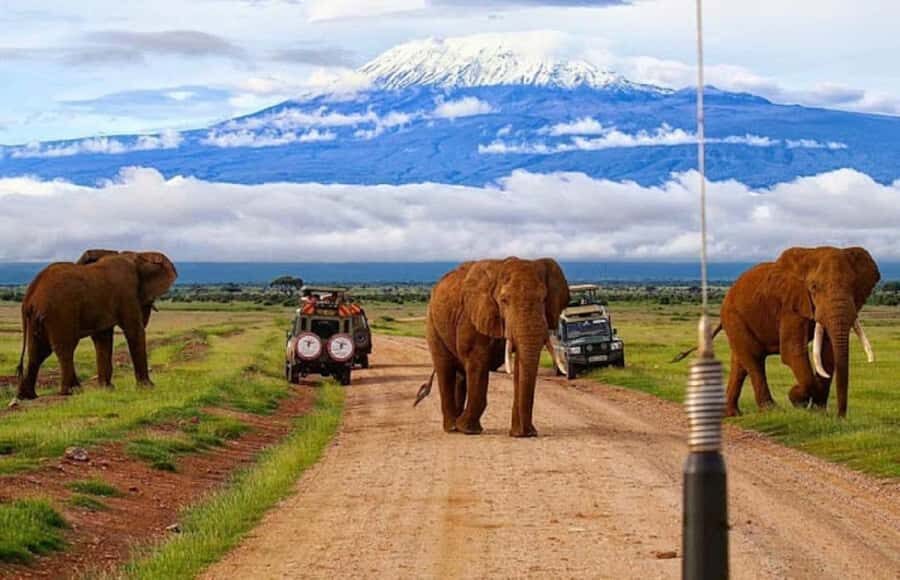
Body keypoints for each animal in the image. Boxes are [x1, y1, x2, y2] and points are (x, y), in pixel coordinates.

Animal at [14, 249, 177, 401]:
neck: (137, 255)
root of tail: (29, 296)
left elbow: (103, 339)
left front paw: (107, 388)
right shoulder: (126, 293)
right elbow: (133, 331)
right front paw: (148, 388)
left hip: (37, 318)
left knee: (37, 352)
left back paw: (27, 396)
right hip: (60, 311)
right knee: (65, 347)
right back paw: (72, 391)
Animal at [421, 257, 569, 437]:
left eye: (543, 299)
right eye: (504, 300)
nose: (529, 433)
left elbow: (520, 364)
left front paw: (520, 434)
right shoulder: (472, 318)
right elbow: (478, 363)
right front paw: (468, 430)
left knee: (460, 375)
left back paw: (456, 423)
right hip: (432, 323)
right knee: (445, 369)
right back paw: (453, 428)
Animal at [678, 246, 879, 418]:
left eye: (854, 286)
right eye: (814, 287)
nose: (840, 416)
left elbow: (827, 354)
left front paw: (819, 412)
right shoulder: (790, 305)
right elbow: (792, 352)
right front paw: (797, 399)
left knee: (741, 363)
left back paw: (732, 414)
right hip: (733, 317)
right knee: (754, 358)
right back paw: (771, 409)